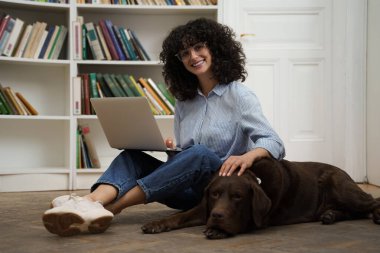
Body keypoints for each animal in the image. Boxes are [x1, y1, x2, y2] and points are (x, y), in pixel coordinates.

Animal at [142, 158, 380, 239]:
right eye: (215, 194)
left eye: (238, 197)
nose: (217, 216)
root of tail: (344, 172)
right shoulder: (204, 208)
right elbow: (179, 217)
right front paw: (155, 224)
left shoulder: (261, 217)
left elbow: (244, 221)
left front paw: (217, 230)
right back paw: (330, 215)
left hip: (340, 186)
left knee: (371, 201)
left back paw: (376, 215)